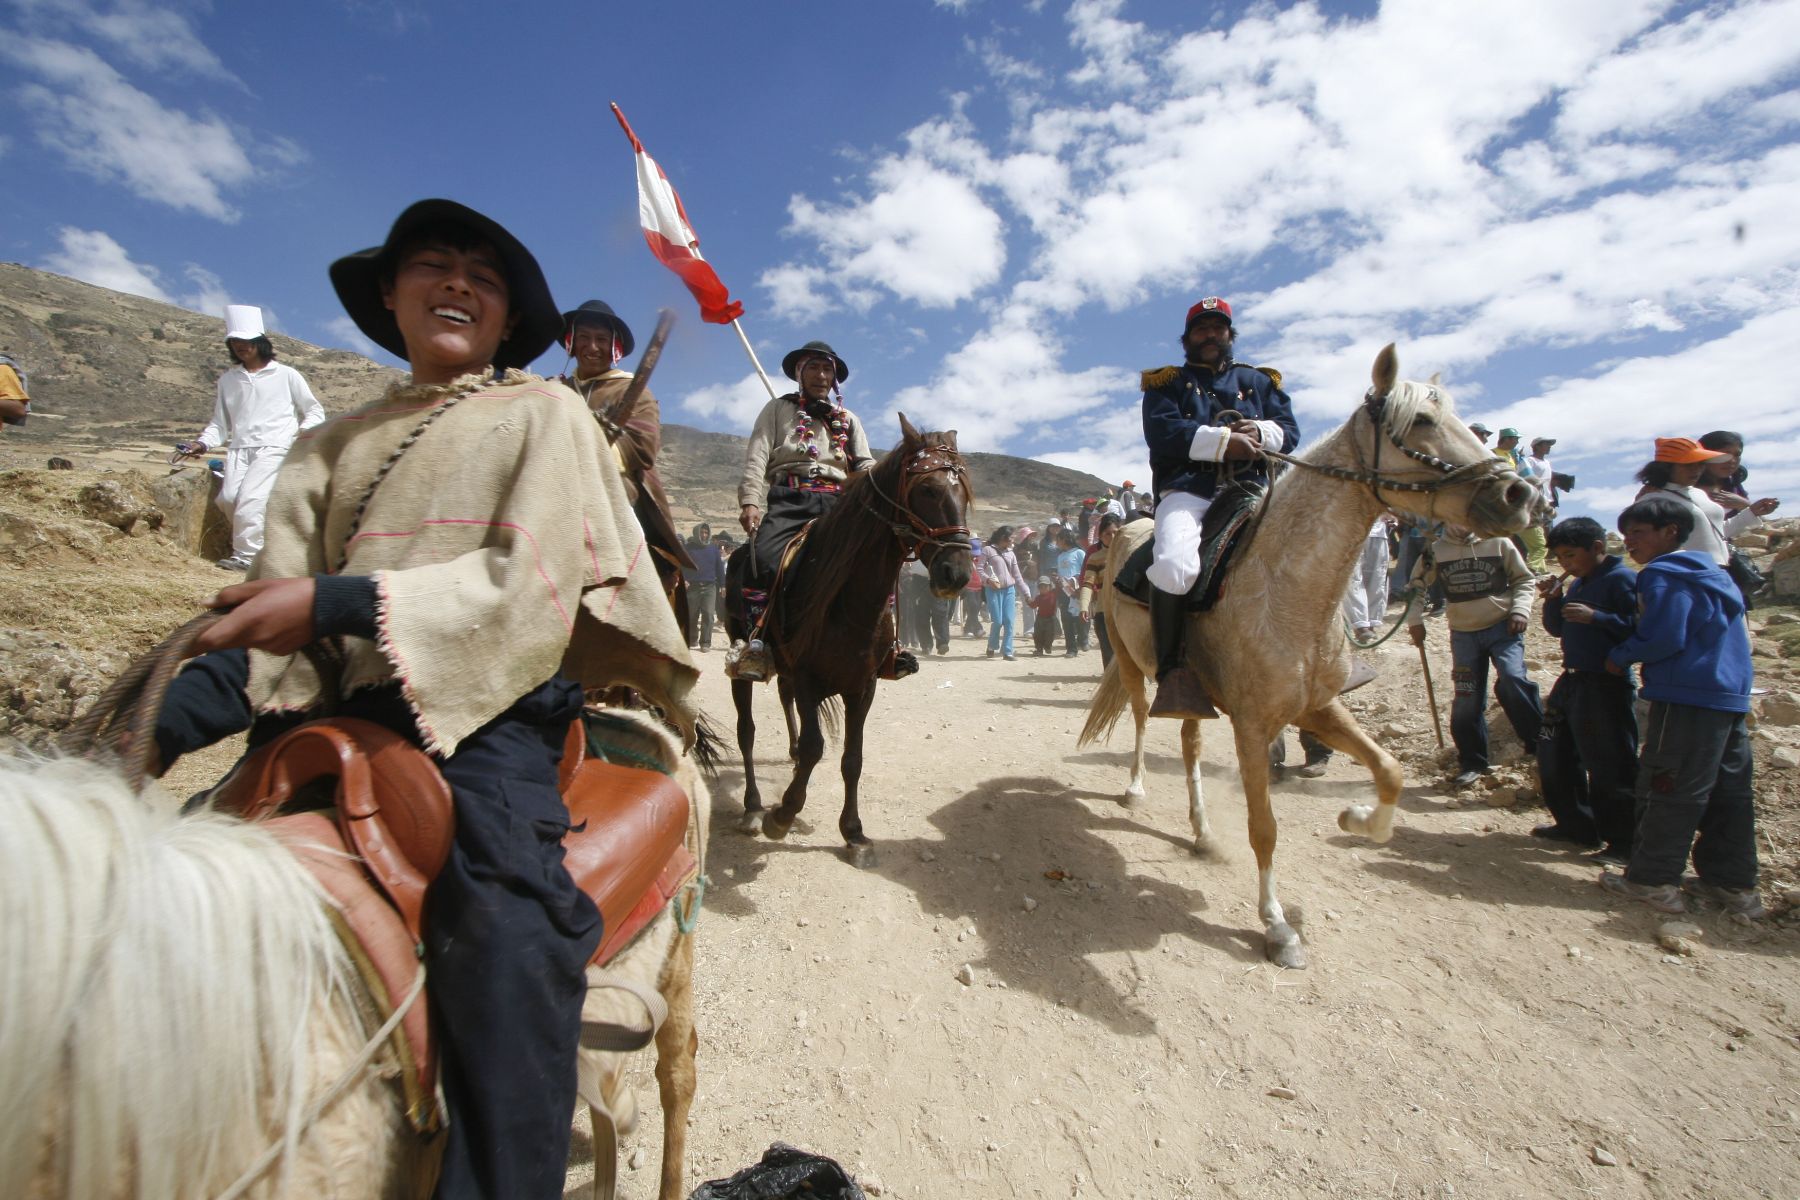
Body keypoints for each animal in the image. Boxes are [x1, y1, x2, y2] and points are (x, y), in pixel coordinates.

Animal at [720, 413, 979, 863]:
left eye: (963, 490)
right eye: (927, 489)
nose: (957, 573)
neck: (847, 600)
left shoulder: (864, 684)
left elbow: (852, 758)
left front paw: (853, 833)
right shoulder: (808, 678)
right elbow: (814, 747)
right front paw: (781, 815)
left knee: (783, 706)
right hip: (744, 661)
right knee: (746, 730)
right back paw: (753, 808)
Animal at [1080, 345, 1533, 964]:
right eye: (1421, 420)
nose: (1518, 495)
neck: (1287, 585)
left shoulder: (1318, 707)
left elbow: (1390, 771)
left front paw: (1358, 819)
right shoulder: (1252, 725)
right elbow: (1264, 827)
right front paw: (1277, 926)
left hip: (1193, 693)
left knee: (1190, 744)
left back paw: (1202, 831)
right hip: (1128, 662)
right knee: (1144, 718)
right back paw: (1136, 788)